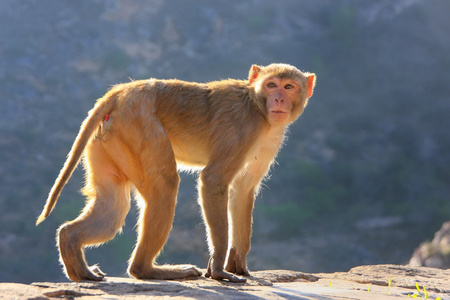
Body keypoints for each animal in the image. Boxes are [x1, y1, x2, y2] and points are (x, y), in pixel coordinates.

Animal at [35, 62, 316, 282]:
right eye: (271, 85)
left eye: (288, 87)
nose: (278, 99)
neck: (258, 108)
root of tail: (120, 92)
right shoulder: (244, 128)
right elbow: (213, 180)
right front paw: (218, 268)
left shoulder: (269, 142)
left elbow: (243, 190)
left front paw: (238, 262)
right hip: (139, 126)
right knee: (165, 186)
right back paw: (148, 270)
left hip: (109, 139)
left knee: (113, 205)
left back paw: (73, 251)